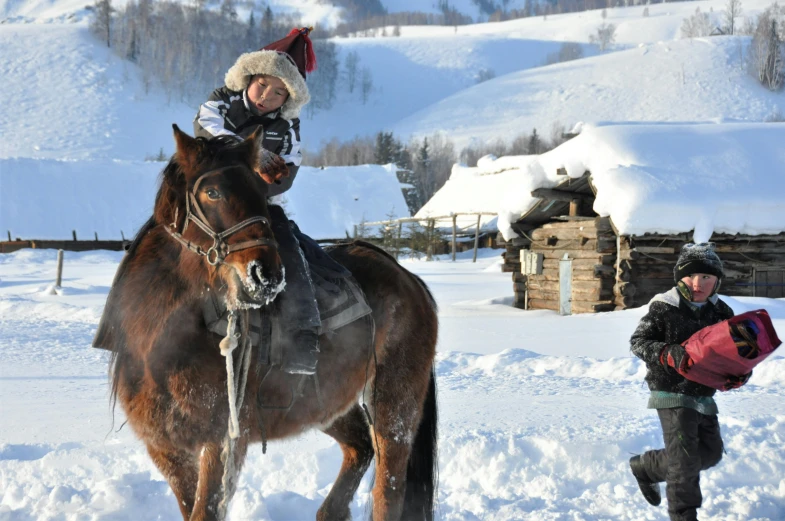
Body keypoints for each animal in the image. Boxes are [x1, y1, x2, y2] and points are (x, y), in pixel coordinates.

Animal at [95, 126, 438, 520]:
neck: (159, 343)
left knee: (388, 488)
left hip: (395, 405)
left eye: (260, 192)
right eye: (212, 192)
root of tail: (410, 280)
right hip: (329, 403)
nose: (267, 275)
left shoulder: (224, 442)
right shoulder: (166, 449)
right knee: (359, 448)